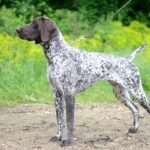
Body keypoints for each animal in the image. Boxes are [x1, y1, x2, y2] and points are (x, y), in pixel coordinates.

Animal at [15, 16, 149, 145]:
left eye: (35, 24)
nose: (17, 29)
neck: (57, 56)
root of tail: (128, 60)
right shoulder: (57, 95)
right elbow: (60, 120)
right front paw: (58, 137)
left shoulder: (69, 94)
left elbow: (69, 121)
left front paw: (68, 141)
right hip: (120, 94)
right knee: (135, 108)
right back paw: (134, 129)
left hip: (137, 92)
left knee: (144, 107)